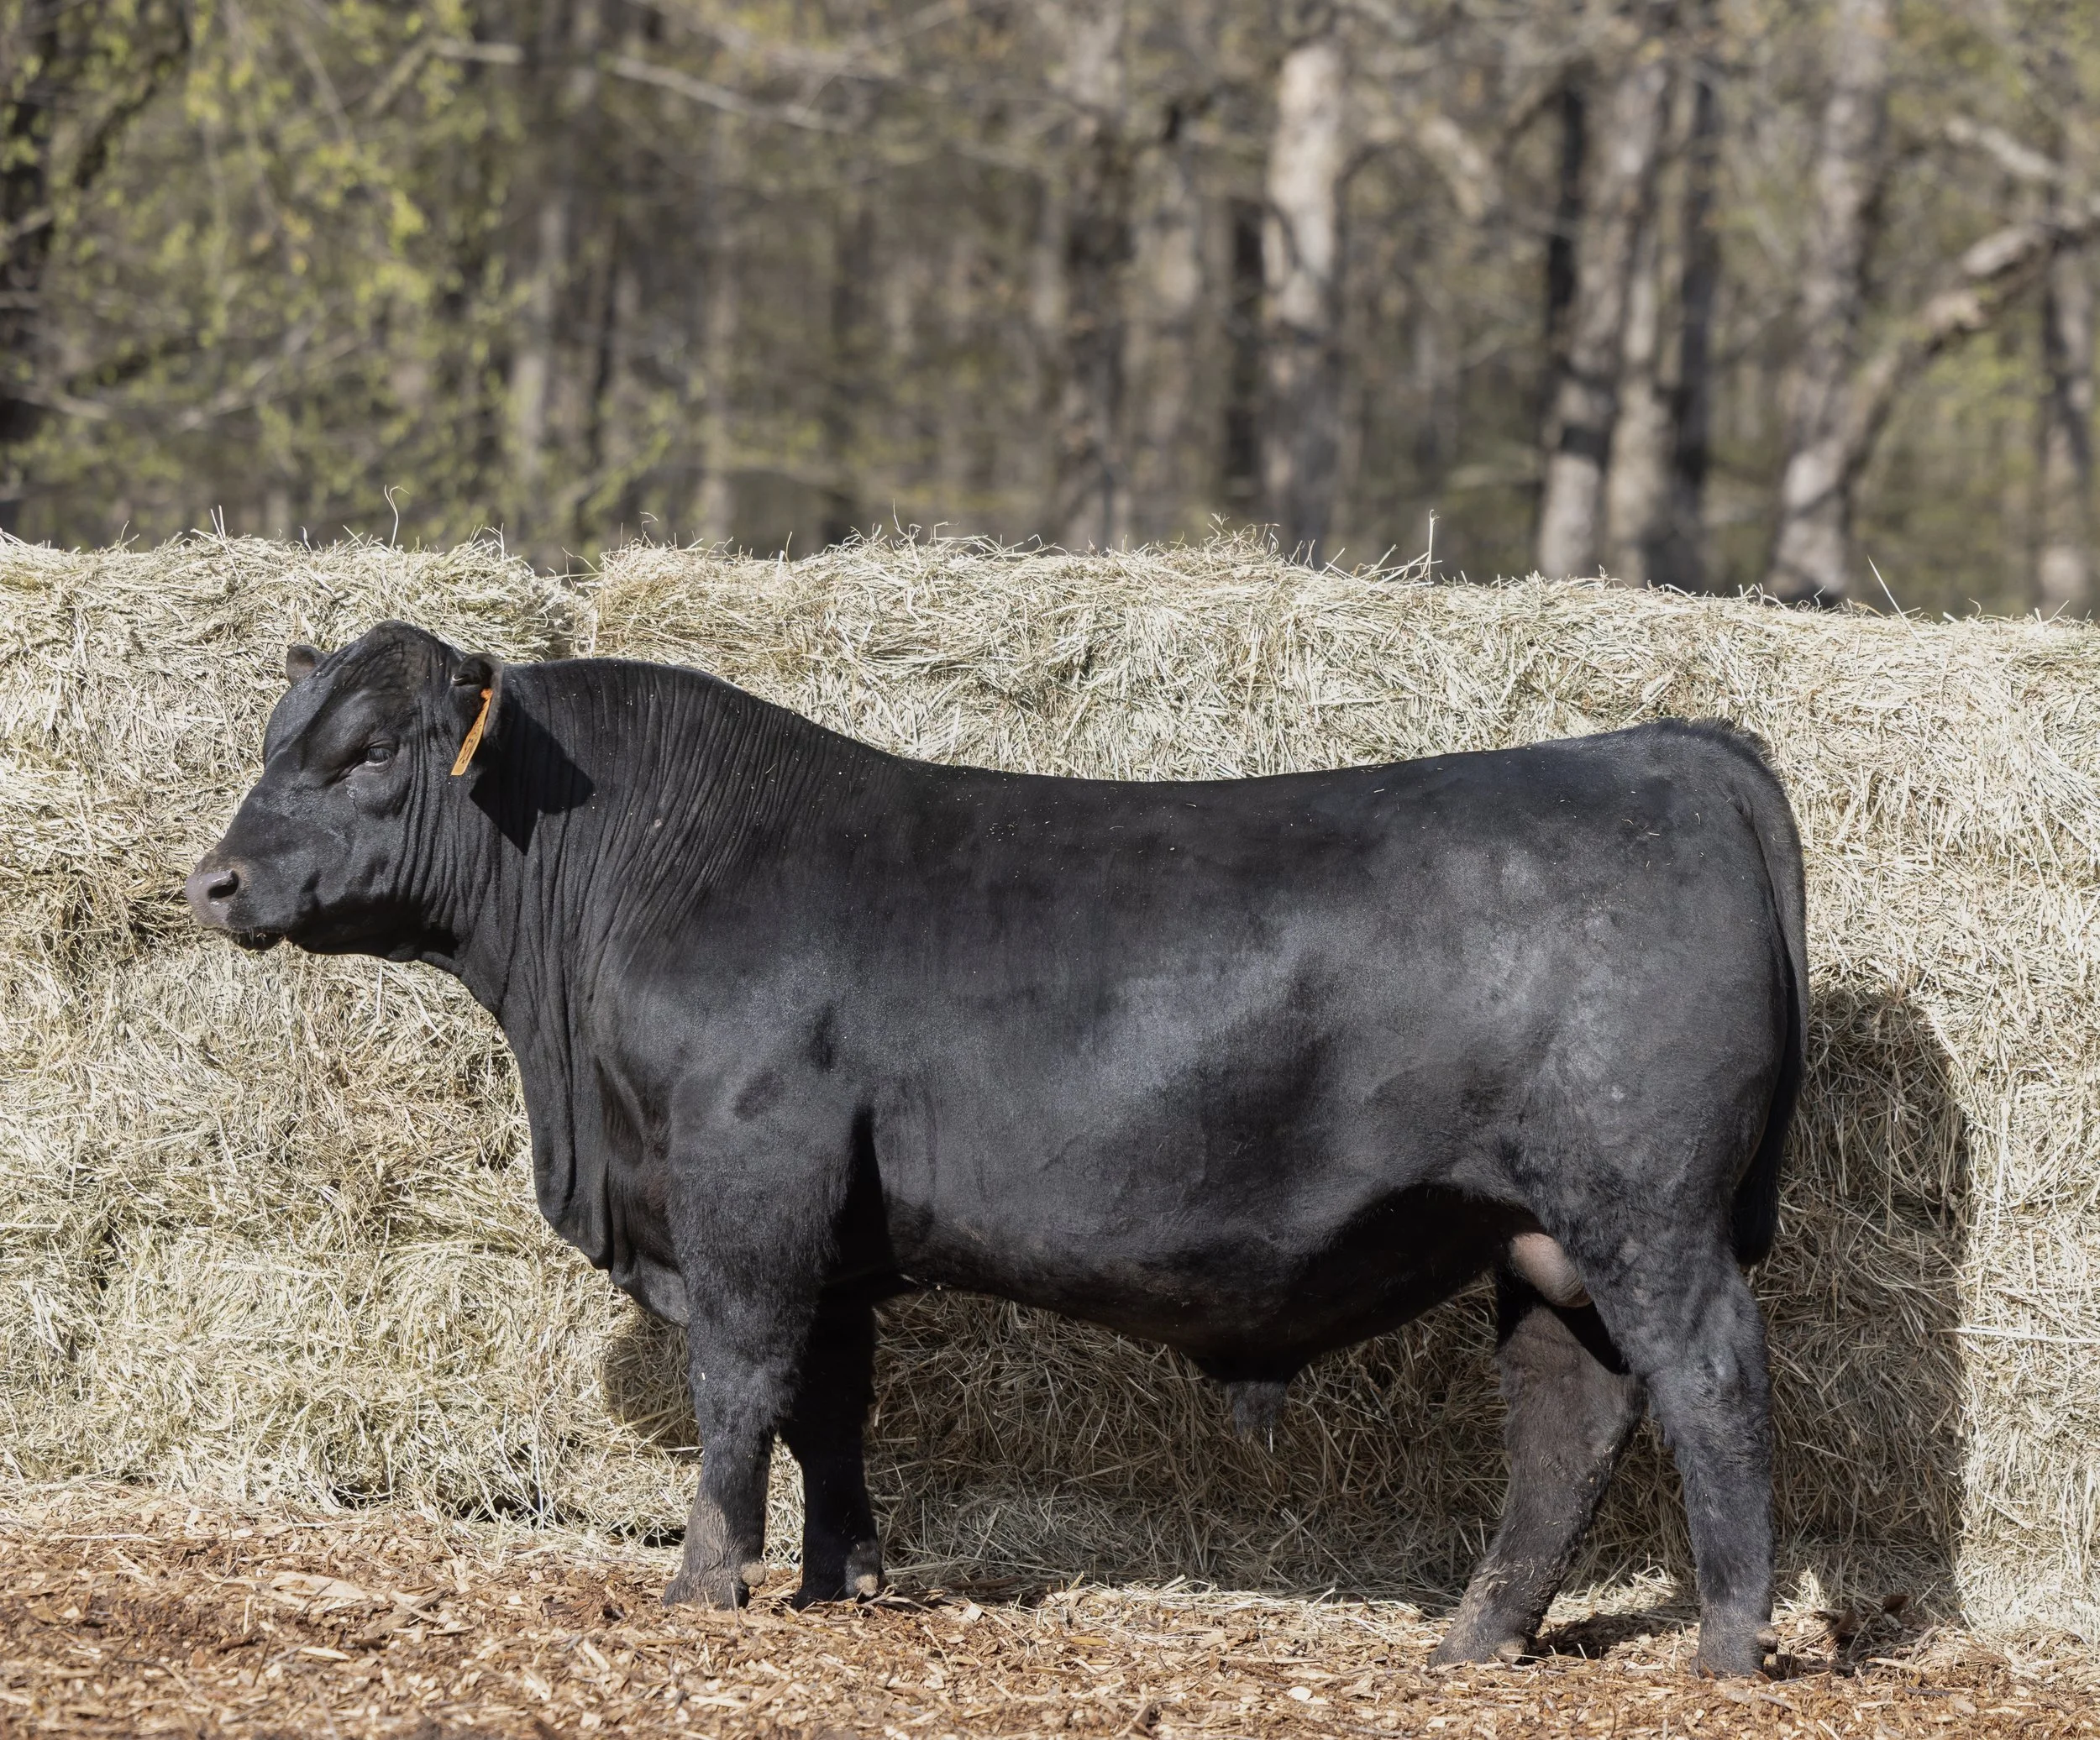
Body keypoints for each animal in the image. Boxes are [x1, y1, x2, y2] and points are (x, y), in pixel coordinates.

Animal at [186, 621, 1807, 1677]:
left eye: (370, 752)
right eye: (273, 743)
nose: (213, 881)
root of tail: (1678, 748)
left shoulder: (748, 1187)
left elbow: (740, 1383)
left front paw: (708, 1582)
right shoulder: (829, 1232)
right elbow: (830, 1405)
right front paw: (842, 1579)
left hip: (1648, 1208)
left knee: (1711, 1381)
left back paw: (1727, 1648)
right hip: (1538, 1233)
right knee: (1570, 1419)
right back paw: (1476, 1639)